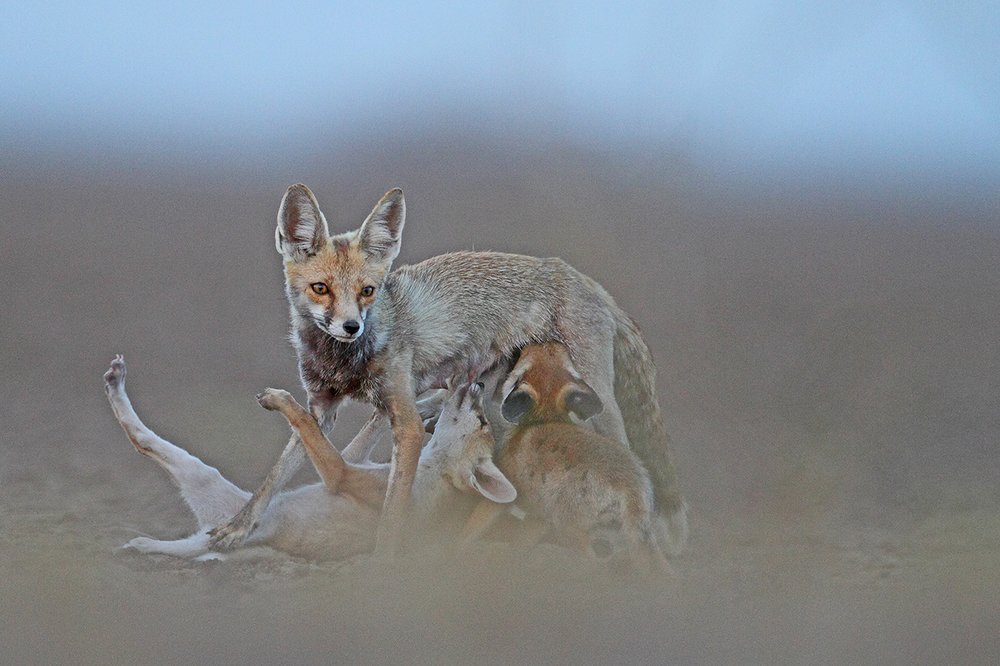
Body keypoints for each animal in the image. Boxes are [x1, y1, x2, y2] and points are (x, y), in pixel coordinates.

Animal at [103, 355, 515, 561]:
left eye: (482, 422)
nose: (478, 384)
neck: (433, 474)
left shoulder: (341, 472)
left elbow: (305, 422)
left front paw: (280, 400)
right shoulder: (353, 460)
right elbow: (371, 426)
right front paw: (424, 400)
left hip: (206, 481)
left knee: (141, 440)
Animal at [461, 342, 671, 573]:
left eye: (520, 371)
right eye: (570, 368)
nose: (546, 342)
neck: (545, 418)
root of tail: (632, 484)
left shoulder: (503, 497)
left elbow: (470, 530)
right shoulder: (538, 518)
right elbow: (520, 546)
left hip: (568, 527)